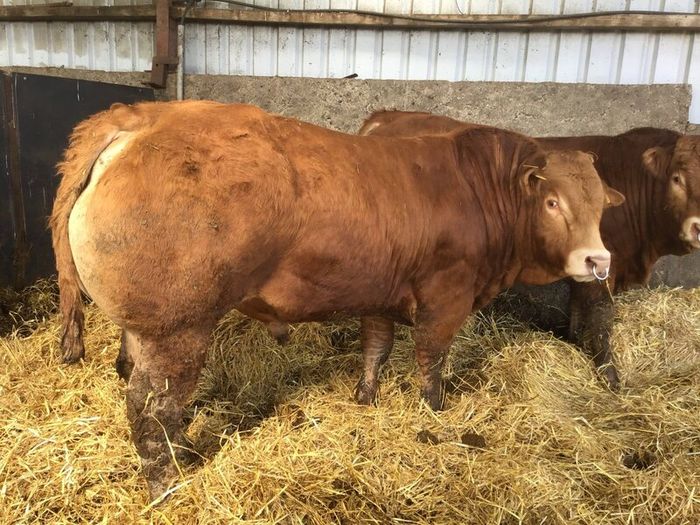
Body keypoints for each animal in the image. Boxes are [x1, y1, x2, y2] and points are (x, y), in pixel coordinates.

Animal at [51, 100, 622, 496]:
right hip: (178, 329)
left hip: (144, 328)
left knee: (132, 376)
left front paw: (365, 399)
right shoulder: (447, 296)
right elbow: (431, 360)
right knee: (152, 408)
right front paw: (434, 411)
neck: (476, 188)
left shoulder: (379, 296)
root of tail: (139, 118)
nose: (599, 261)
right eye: (552, 201)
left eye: (600, 203)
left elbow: (375, 349)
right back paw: (168, 483)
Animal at [356, 110, 700, 390]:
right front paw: (610, 377)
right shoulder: (603, 268)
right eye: (677, 178)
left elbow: (579, 312)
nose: (698, 227)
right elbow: (601, 319)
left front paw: (576, 343)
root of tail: (388, 117)